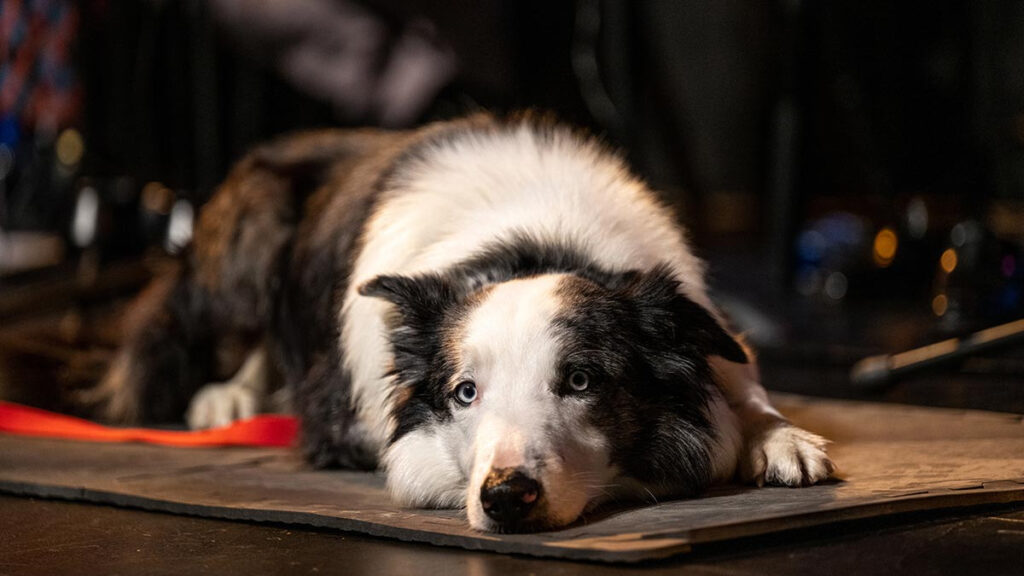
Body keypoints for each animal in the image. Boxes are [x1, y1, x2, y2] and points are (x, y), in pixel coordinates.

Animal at [88, 114, 831, 532]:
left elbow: (743, 385)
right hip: (247, 243)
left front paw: (780, 438)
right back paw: (232, 394)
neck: (534, 238)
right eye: (464, 393)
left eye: (582, 381)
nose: (505, 497)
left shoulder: (704, 324)